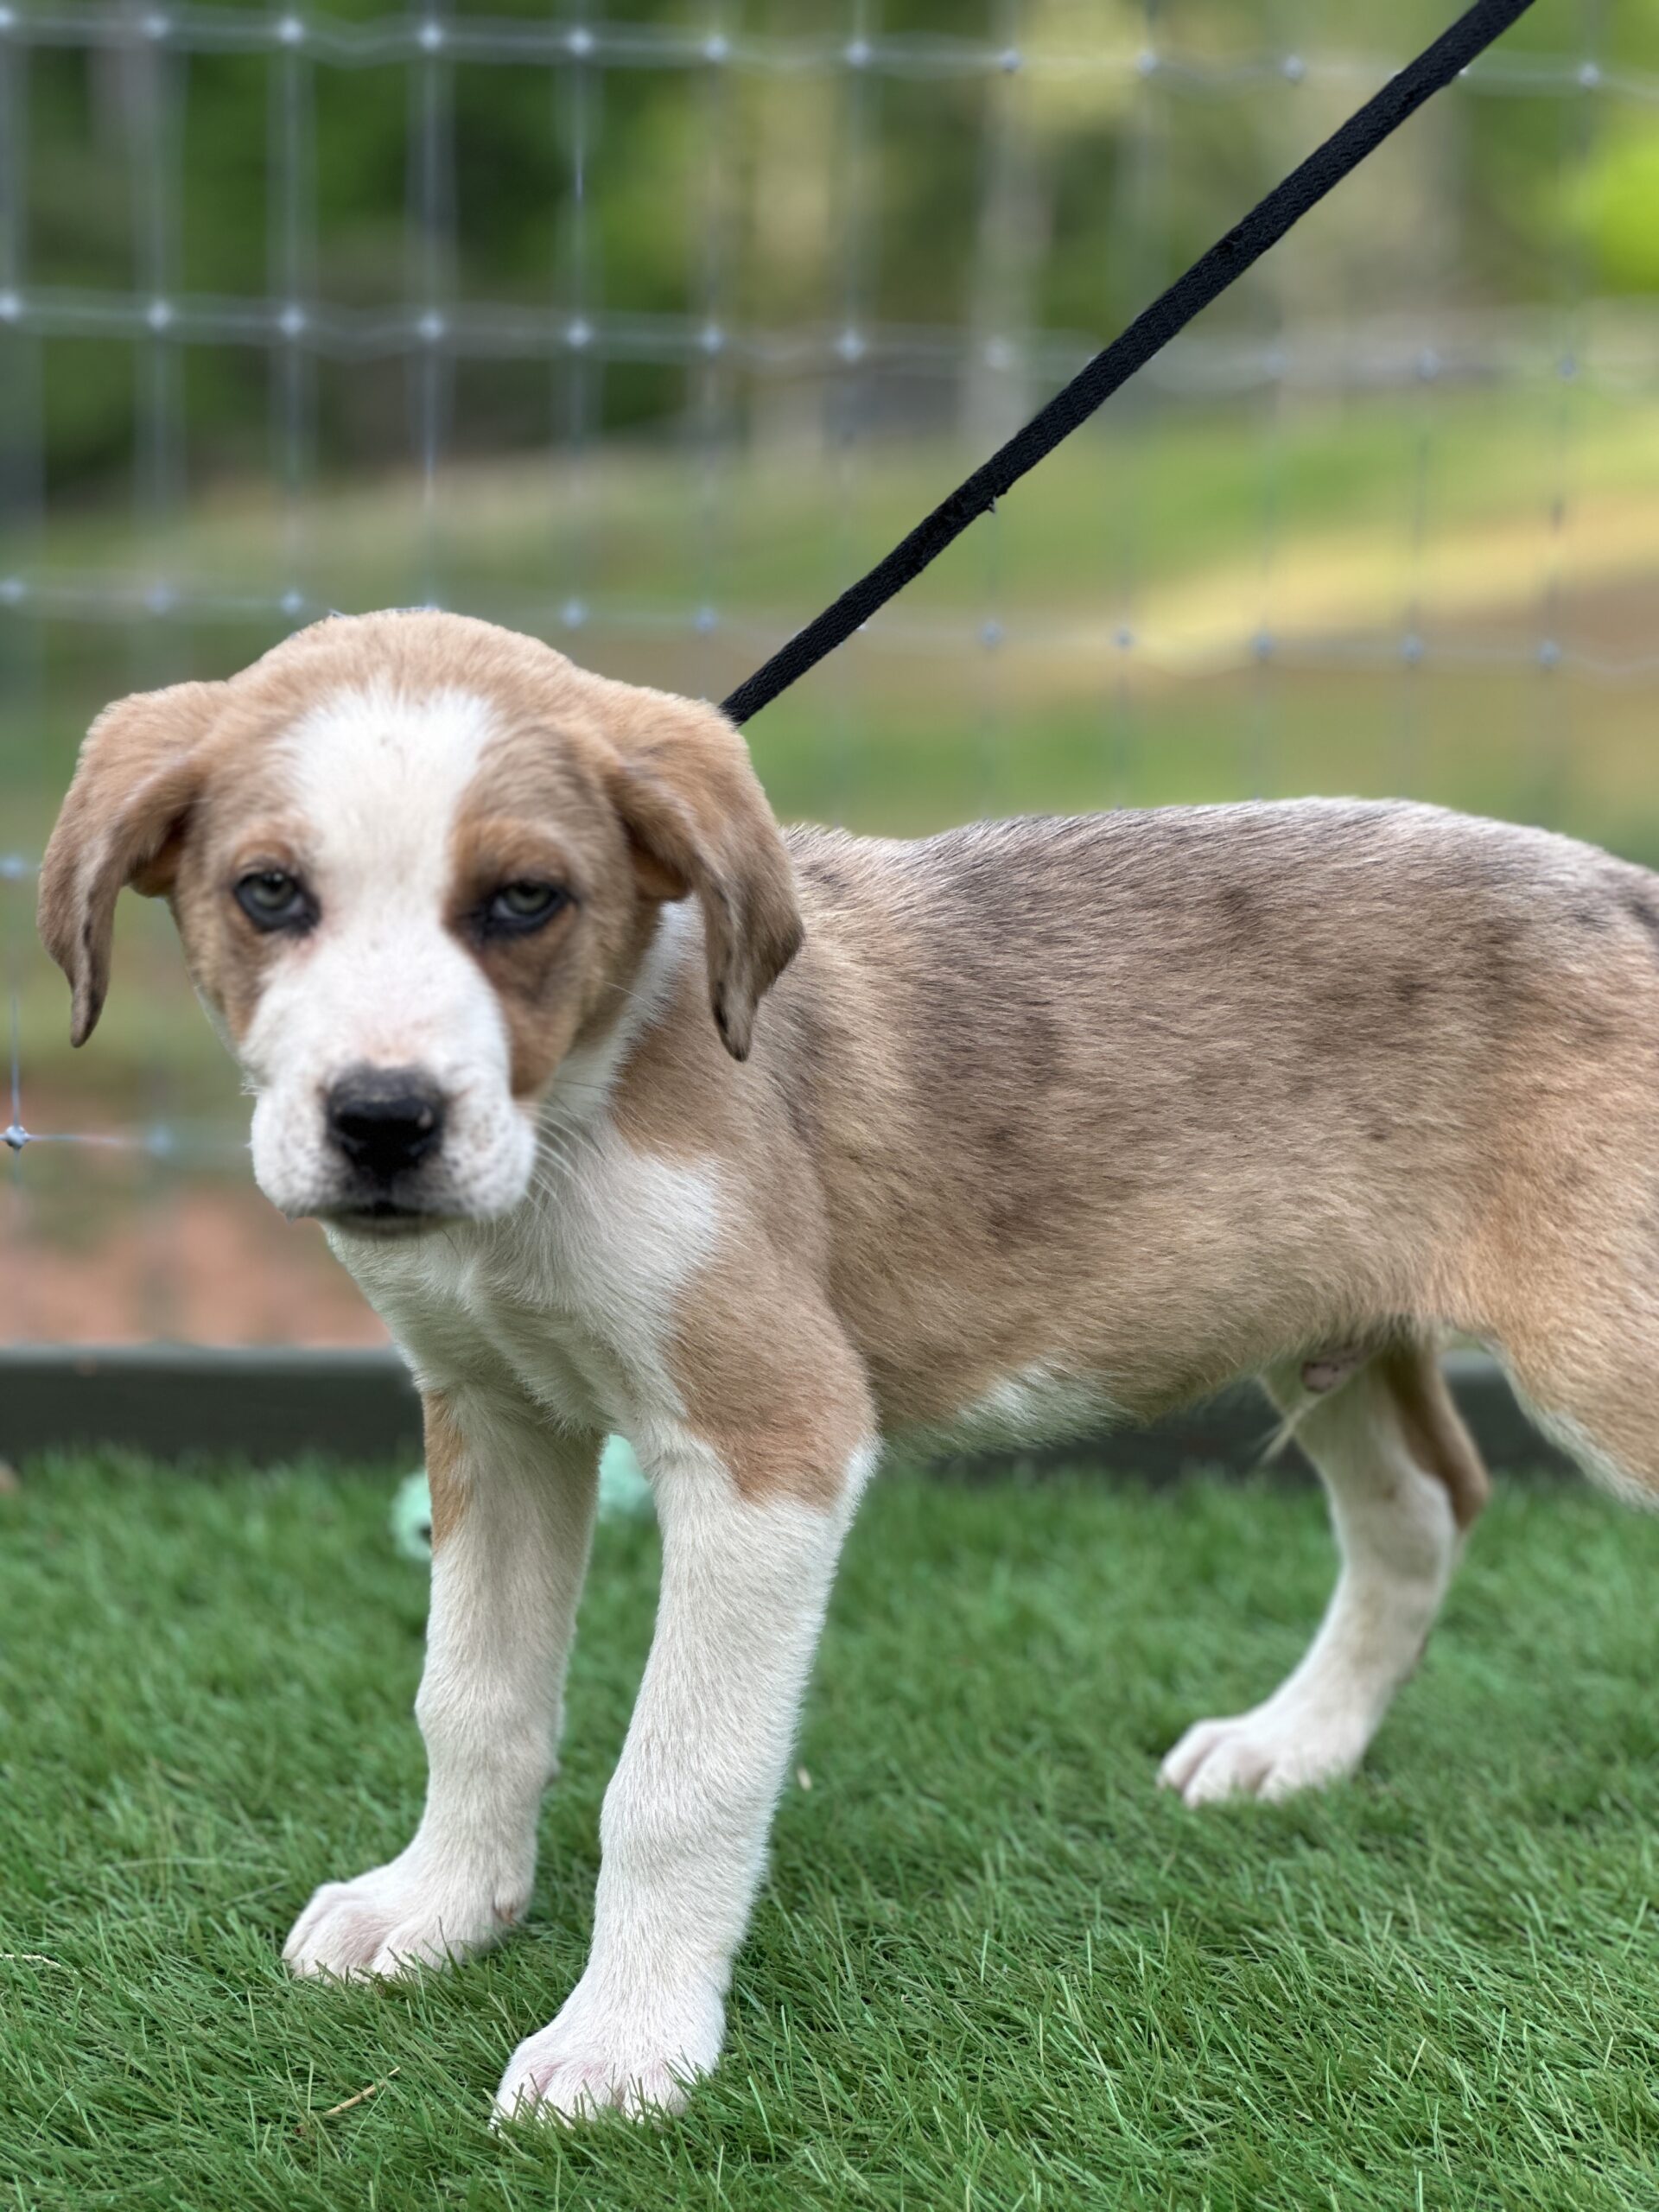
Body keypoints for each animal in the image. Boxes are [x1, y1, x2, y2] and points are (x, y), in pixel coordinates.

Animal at [38, 608, 1659, 2119]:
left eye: (523, 901)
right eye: (269, 894)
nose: (383, 1123)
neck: (575, 1122)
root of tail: (1630, 887)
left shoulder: (773, 1445)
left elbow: (674, 1780)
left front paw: (627, 2044)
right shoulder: (494, 1420)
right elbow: (473, 1699)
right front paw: (438, 1908)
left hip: (1601, 1358)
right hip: (1325, 1334)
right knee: (1423, 1510)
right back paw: (1296, 1747)